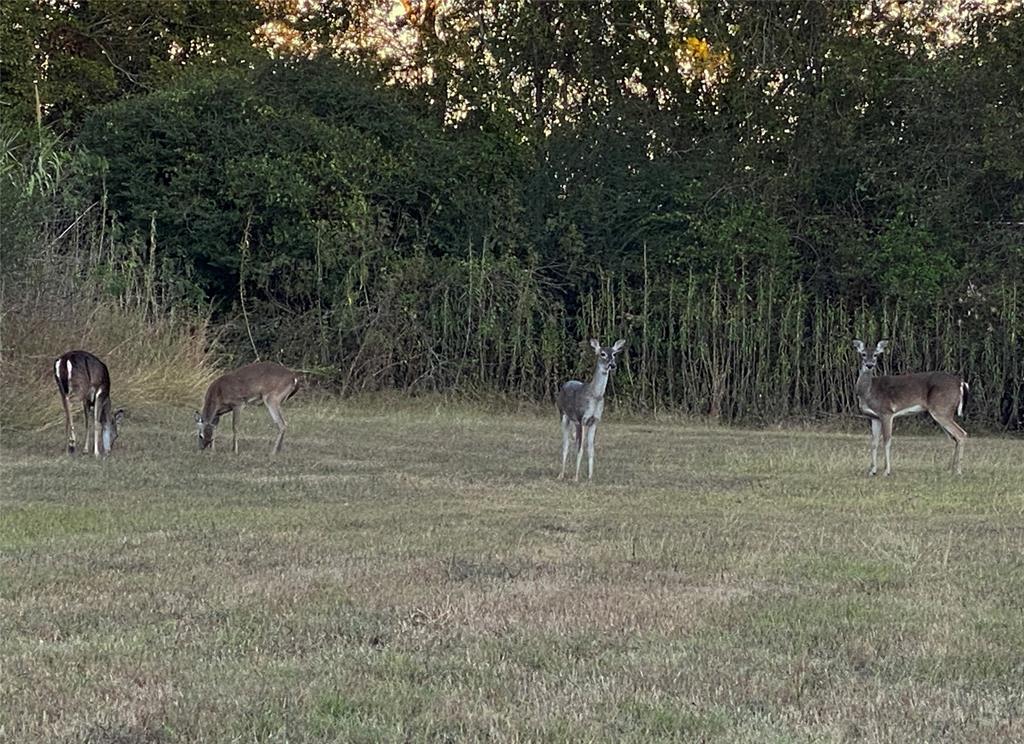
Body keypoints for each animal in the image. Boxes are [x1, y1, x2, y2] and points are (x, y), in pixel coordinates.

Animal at [561, 339, 622, 480]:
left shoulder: (595, 421)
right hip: (564, 415)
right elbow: (580, 449)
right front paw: (576, 477)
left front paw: (590, 477)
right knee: (566, 445)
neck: (595, 396)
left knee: (573, 441)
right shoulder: (582, 418)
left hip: (574, 422)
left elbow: (591, 449)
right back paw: (561, 474)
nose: (612, 365)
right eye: (603, 354)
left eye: (614, 354)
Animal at [851, 339, 970, 476]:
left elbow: (887, 441)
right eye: (863, 354)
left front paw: (886, 471)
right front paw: (872, 471)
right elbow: (874, 443)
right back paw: (950, 470)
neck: (869, 392)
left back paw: (958, 471)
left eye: (876, 355)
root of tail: (960, 382)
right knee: (953, 438)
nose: (870, 365)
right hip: (943, 412)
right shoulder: (874, 417)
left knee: (961, 434)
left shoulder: (886, 412)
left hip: (941, 409)